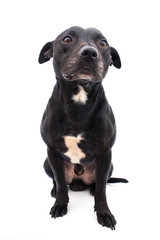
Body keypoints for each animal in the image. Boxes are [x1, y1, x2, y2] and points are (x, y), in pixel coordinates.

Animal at [38, 25, 127, 230]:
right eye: (67, 39)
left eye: (103, 43)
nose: (89, 52)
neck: (79, 100)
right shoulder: (52, 151)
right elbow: (60, 183)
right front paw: (60, 204)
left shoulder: (105, 153)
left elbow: (102, 189)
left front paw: (104, 213)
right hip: (46, 163)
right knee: (57, 180)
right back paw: (54, 191)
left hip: (110, 165)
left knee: (99, 183)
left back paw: (92, 189)